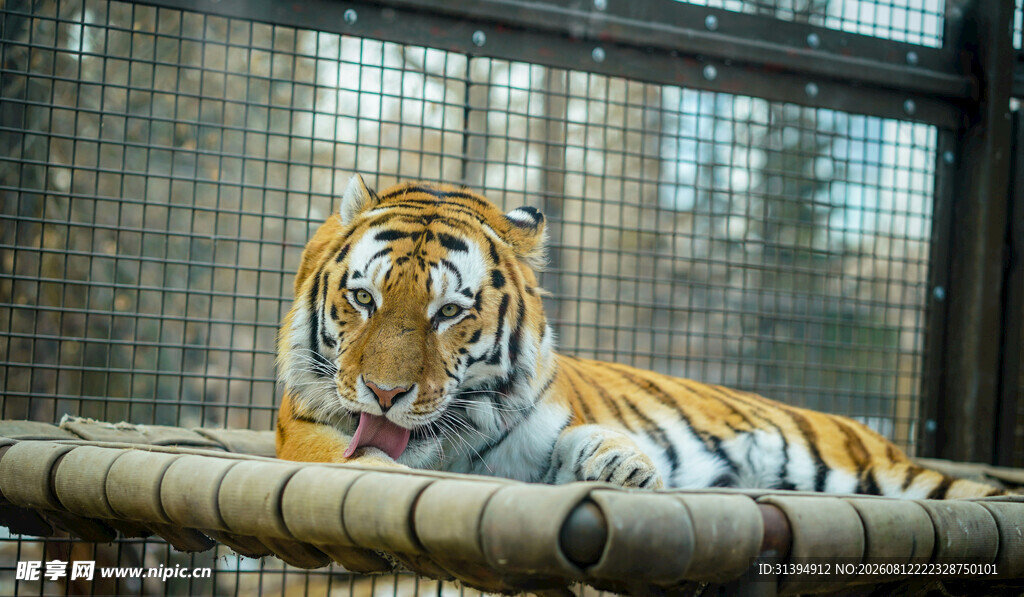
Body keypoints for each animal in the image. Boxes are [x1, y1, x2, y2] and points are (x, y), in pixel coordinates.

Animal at [275, 174, 1003, 499]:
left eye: (450, 312)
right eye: (363, 299)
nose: (384, 393)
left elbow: (584, 438)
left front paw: (622, 462)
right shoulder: (304, 433)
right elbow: (359, 459)